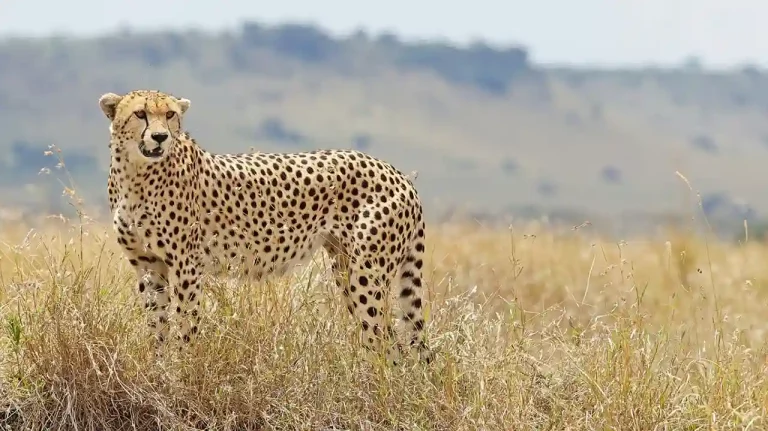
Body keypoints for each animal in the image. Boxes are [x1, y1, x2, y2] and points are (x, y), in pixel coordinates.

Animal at [98, 89, 432, 364]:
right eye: (140, 114)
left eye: (169, 115)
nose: (160, 137)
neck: (136, 174)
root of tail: (397, 173)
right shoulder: (147, 263)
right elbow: (157, 324)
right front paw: (159, 368)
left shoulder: (186, 264)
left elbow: (185, 322)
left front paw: (181, 371)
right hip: (346, 267)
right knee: (387, 340)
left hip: (367, 273)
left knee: (387, 341)